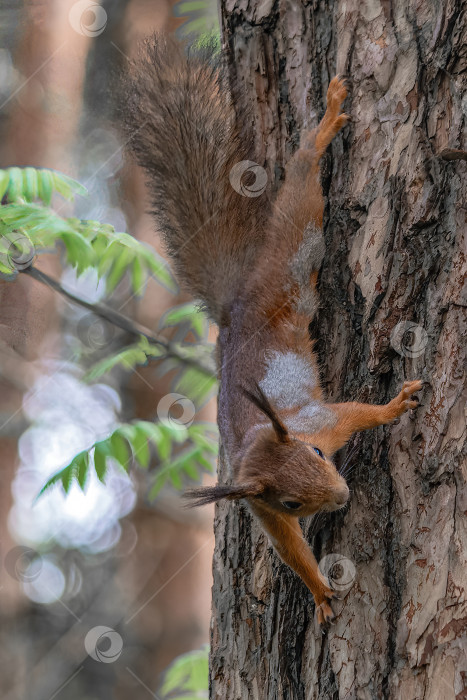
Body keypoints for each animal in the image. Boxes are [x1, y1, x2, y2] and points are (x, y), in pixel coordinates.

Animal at [121, 35, 424, 628]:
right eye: (290, 502)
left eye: (319, 456)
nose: (340, 497)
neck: (275, 437)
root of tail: (237, 306)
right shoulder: (257, 503)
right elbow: (289, 548)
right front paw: (320, 592)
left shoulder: (317, 422)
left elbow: (357, 414)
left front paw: (393, 407)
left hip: (289, 264)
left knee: (300, 200)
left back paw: (322, 131)